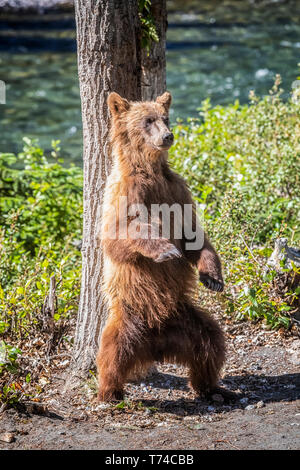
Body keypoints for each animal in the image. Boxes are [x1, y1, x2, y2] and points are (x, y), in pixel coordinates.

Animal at [97, 92, 226, 404]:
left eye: (165, 118)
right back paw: (109, 392)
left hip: (186, 320)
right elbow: (117, 236)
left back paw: (211, 388)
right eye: (147, 120)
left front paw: (213, 278)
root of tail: (157, 343)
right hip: (129, 316)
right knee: (111, 351)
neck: (149, 171)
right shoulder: (125, 193)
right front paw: (164, 250)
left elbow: (193, 234)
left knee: (211, 343)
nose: (168, 135)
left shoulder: (177, 191)